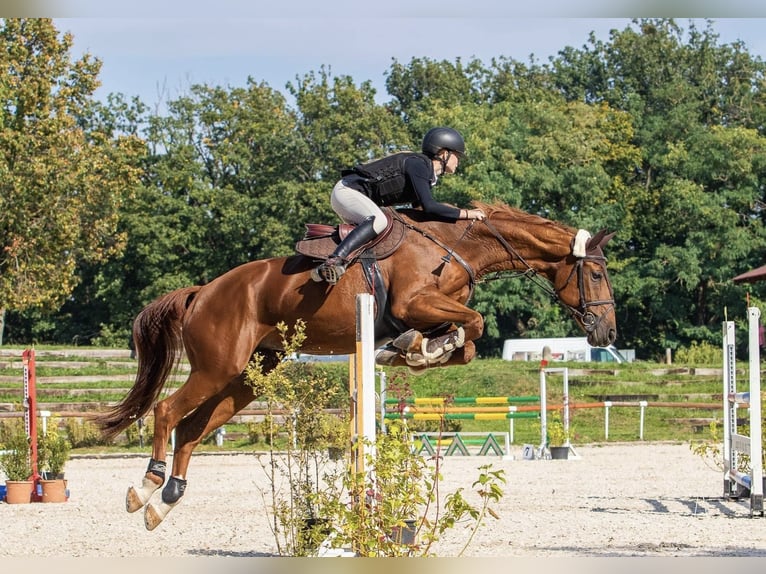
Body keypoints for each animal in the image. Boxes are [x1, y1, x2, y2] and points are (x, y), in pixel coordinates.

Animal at [93, 201, 616, 532]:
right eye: (594, 273)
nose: (607, 333)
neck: (458, 246)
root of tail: (203, 291)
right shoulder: (415, 301)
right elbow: (476, 323)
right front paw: (414, 349)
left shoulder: (431, 311)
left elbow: (465, 339)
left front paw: (412, 350)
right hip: (218, 367)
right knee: (166, 411)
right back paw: (147, 486)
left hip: (248, 376)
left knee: (192, 428)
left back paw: (164, 503)